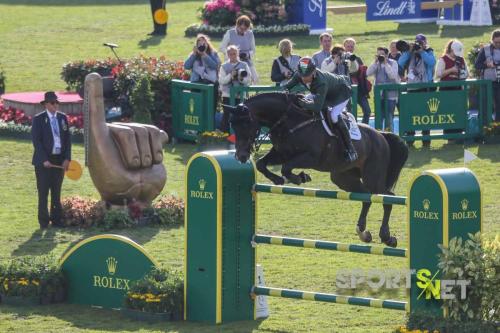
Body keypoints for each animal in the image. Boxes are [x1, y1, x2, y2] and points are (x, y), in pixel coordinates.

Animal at [229, 91, 408, 246]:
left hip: (373, 176)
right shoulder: (281, 153)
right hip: (343, 177)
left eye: (246, 123)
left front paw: (299, 178)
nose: (241, 156)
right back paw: (363, 232)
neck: (289, 120)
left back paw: (386, 237)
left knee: (387, 197)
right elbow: (261, 164)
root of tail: (381, 135)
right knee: (366, 196)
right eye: (233, 125)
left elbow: (286, 168)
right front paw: (279, 179)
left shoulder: (311, 157)